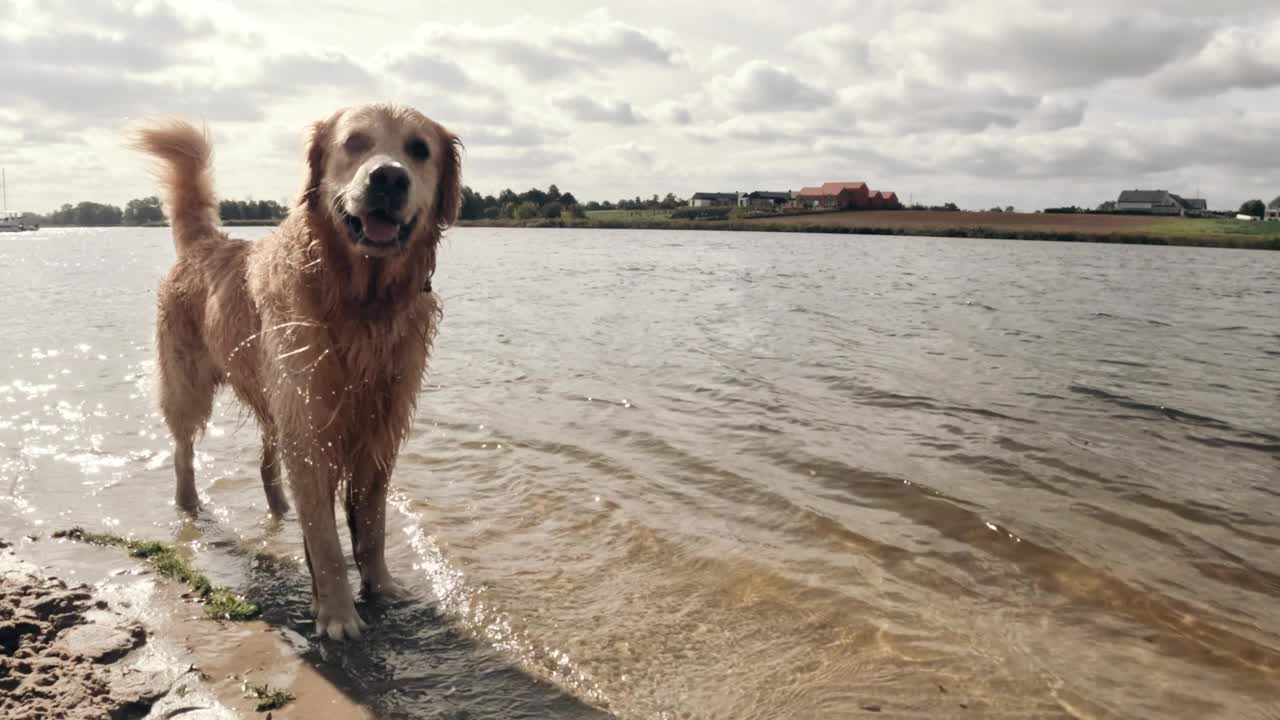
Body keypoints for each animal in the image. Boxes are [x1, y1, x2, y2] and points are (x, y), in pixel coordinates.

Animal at [128, 103, 460, 635]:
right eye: (355, 142)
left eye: (419, 149)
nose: (389, 178)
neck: (361, 304)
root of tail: (204, 243)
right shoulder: (312, 424)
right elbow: (325, 539)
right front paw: (339, 615)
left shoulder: (380, 427)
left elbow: (372, 525)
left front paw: (383, 589)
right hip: (190, 386)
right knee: (183, 450)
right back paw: (189, 507)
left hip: (272, 395)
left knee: (267, 464)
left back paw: (280, 510)